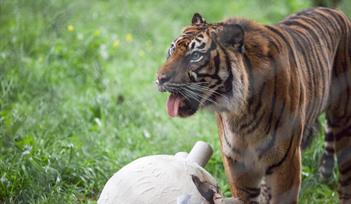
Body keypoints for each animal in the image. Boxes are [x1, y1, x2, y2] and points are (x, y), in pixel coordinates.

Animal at [157, 7, 351, 203]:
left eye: (196, 56)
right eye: (172, 50)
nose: (159, 78)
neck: (239, 114)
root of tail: (334, 10)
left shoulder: (286, 162)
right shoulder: (237, 163)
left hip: (343, 124)